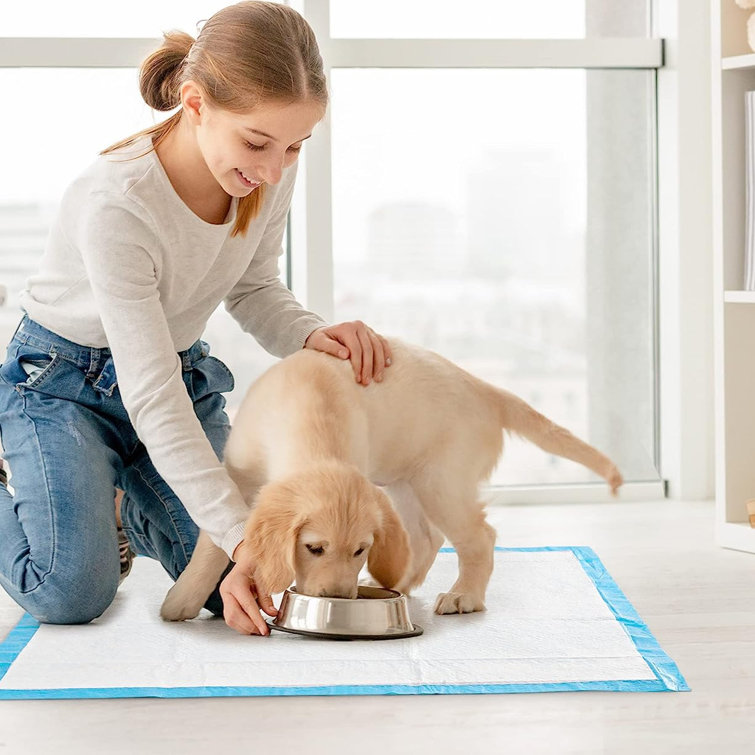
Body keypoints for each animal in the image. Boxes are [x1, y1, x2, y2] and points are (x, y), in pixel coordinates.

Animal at [162, 340, 624, 624]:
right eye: (314, 548)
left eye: (360, 550)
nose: (338, 598)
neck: (309, 413)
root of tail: (484, 389)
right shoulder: (236, 474)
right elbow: (212, 544)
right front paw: (183, 600)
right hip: (406, 480)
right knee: (426, 539)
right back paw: (396, 585)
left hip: (440, 481)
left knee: (478, 537)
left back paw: (464, 595)